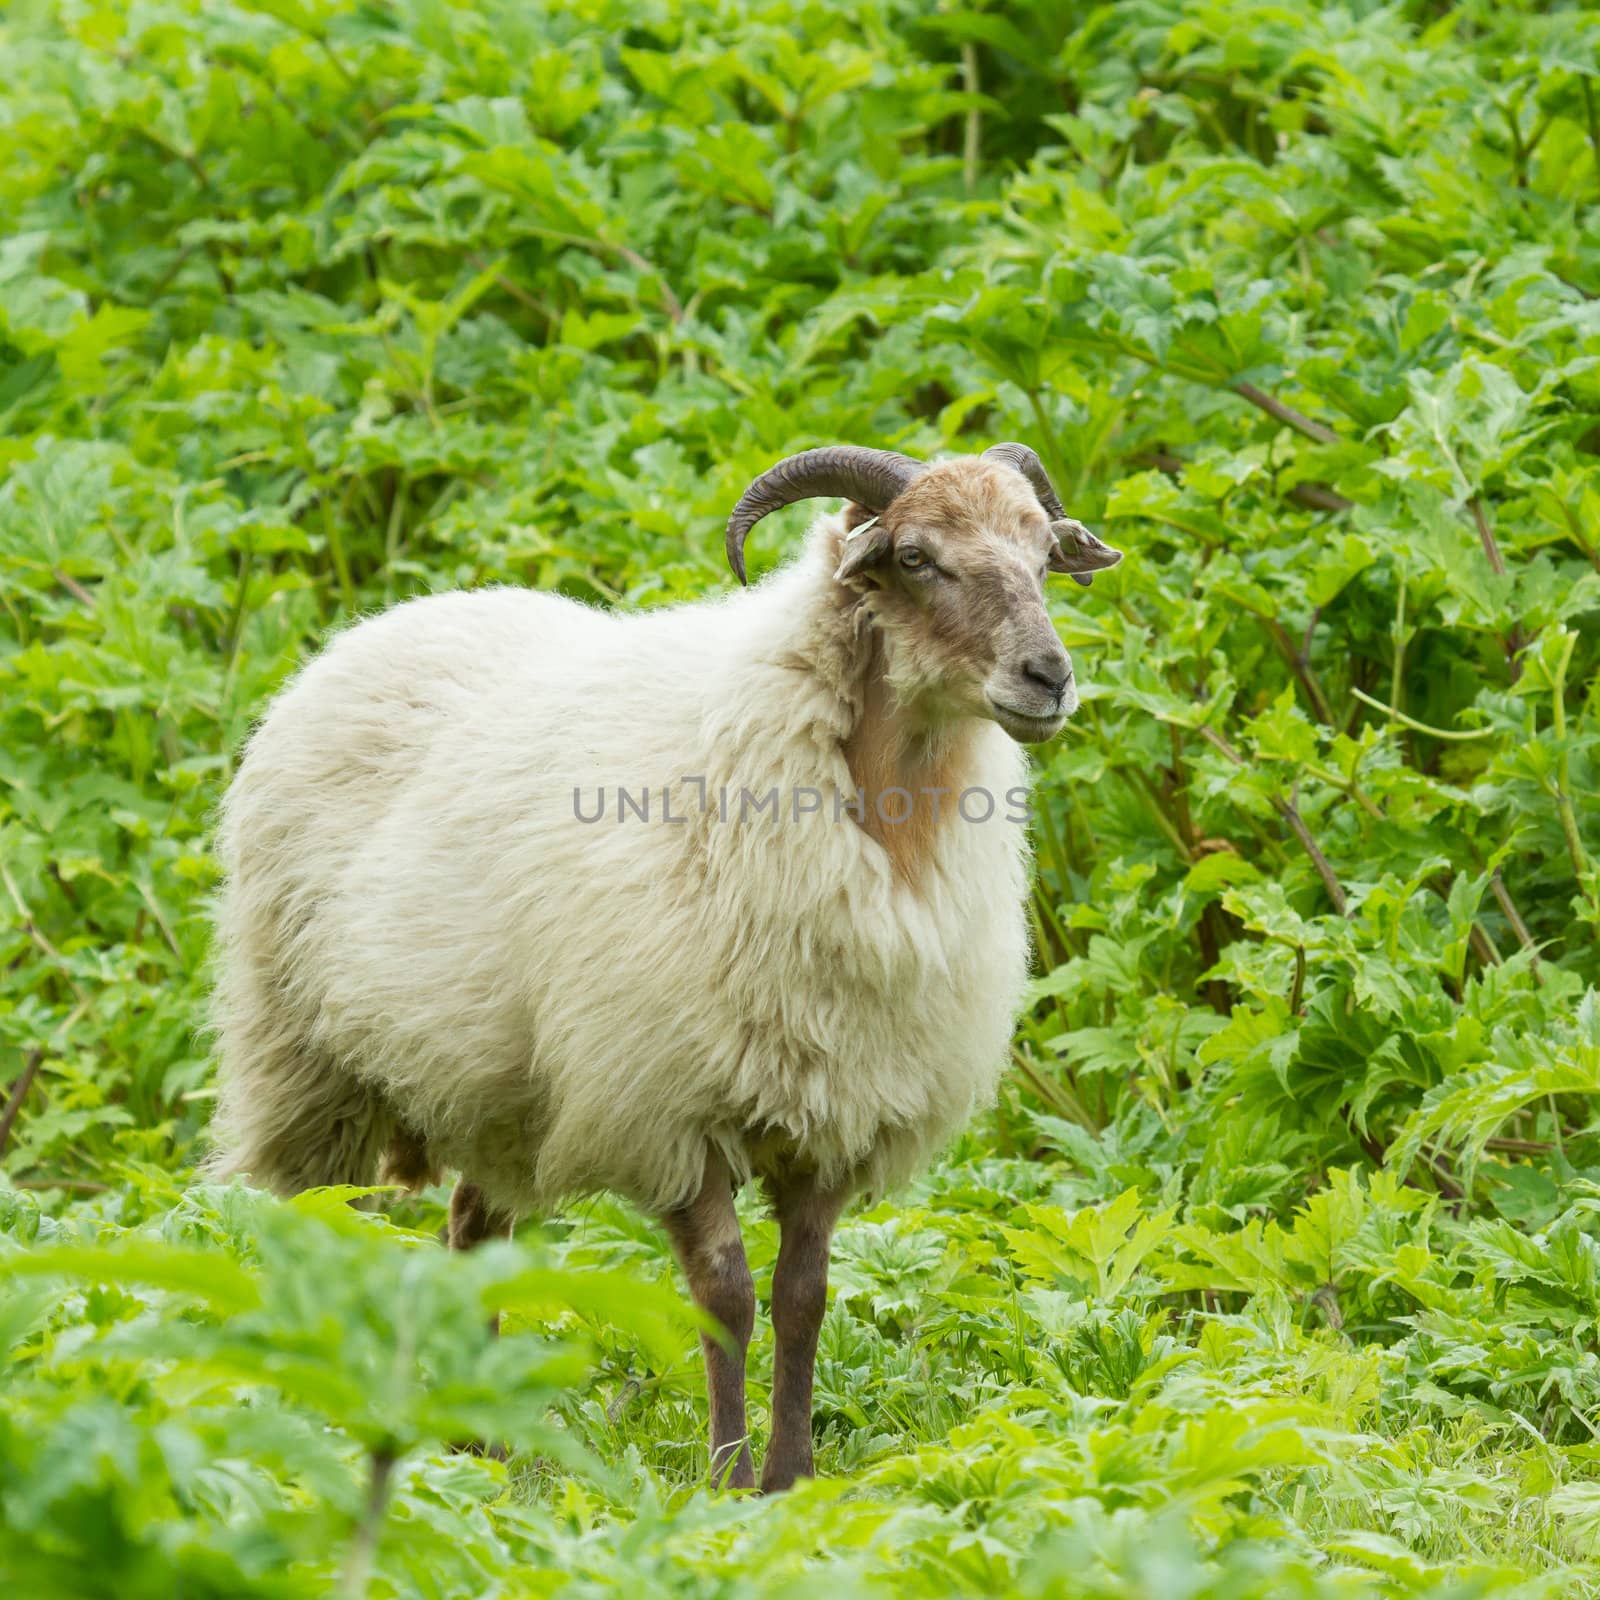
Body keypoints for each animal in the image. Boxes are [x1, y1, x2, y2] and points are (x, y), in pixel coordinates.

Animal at [203, 435, 1126, 1484]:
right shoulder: (670, 1111)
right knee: (304, 1223)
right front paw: (725, 1482)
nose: (1048, 677)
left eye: (1043, 555)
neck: (885, 824)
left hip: (497, 1091)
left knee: (474, 1231)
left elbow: (803, 1297)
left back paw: (480, 1447)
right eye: (917, 557)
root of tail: (382, 624)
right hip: (304, 1061)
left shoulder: (838, 1110)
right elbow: (727, 1298)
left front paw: (791, 1479)